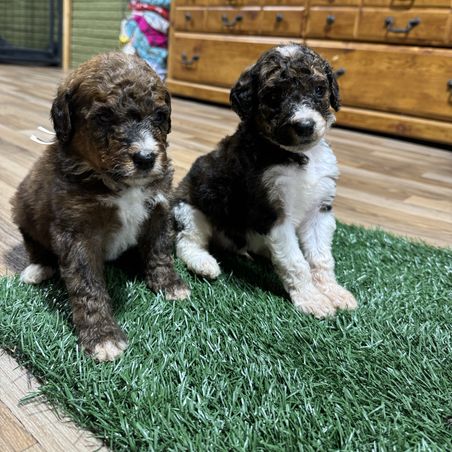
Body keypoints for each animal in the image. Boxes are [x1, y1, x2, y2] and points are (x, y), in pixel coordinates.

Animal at [11, 52, 190, 361]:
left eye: (159, 116)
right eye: (105, 117)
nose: (146, 158)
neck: (118, 183)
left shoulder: (159, 208)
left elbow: (160, 251)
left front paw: (169, 285)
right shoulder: (77, 233)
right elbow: (88, 286)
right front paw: (102, 336)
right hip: (23, 210)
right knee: (34, 245)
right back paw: (37, 269)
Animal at [173, 43, 357, 318]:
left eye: (319, 89)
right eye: (273, 97)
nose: (305, 126)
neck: (296, 155)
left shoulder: (319, 211)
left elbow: (321, 258)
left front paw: (332, 292)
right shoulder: (273, 214)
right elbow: (295, 262)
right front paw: (312, 299)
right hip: (191, 210)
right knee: (187, 240)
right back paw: (204, 263)